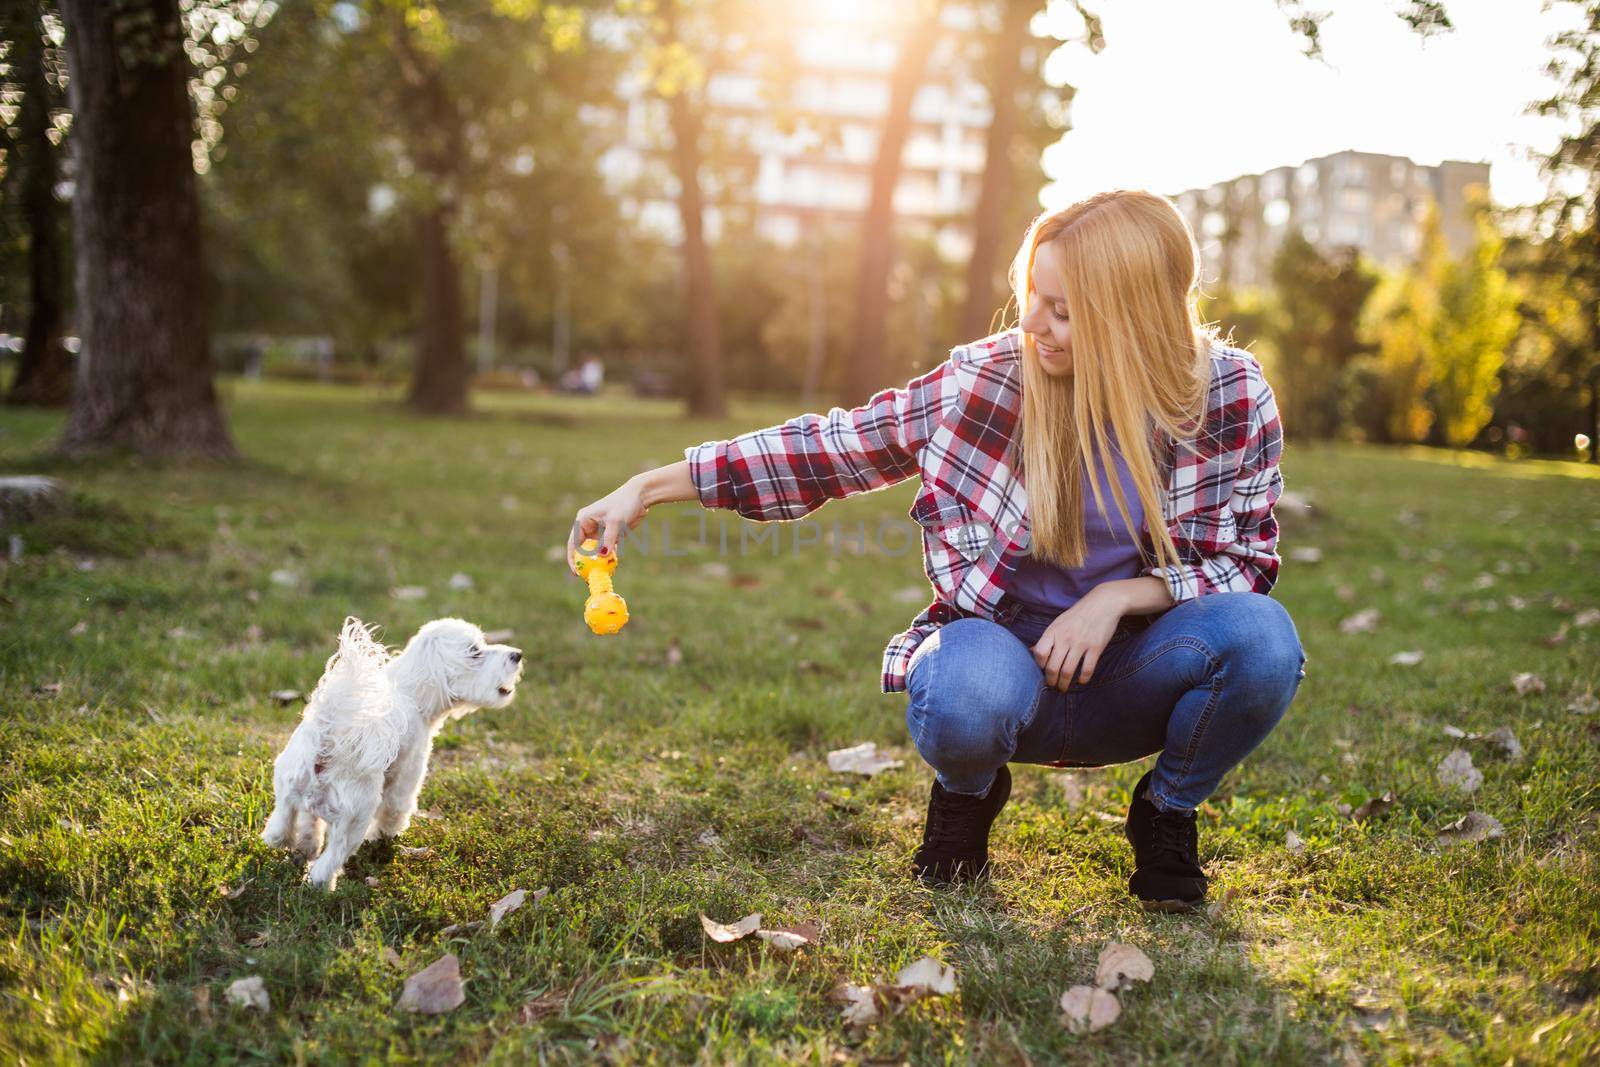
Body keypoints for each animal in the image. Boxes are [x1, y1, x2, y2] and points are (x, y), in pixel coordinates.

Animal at [260, 620, 524, 889]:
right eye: (475, 651)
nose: (517, 655)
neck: (413, 693)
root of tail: (329, 740)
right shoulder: (407, 776)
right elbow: (394, 811)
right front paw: (384, 836)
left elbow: (309, 826)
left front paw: (307, 848)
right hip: (355, 818)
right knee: (329, 861)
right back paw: (322, 884)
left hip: (288, 785)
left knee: (279, 828)